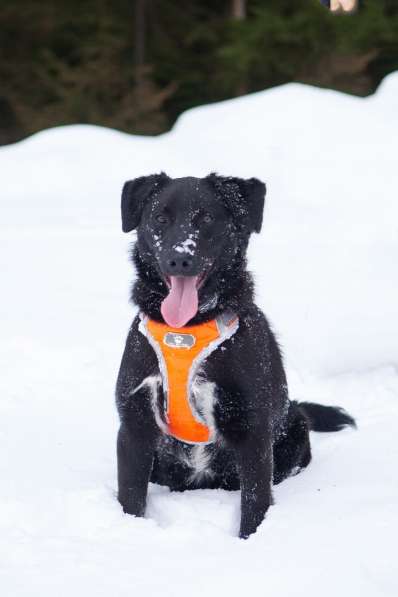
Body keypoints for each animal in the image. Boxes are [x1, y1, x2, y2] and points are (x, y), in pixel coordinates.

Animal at [115, 171, 354, 536]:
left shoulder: (252, 430)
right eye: (160, 218)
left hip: (294, 430)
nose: (179, 258)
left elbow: (255, 502)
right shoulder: (134, 423)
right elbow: (130, 497)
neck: (186, 330)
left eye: (206, 219)